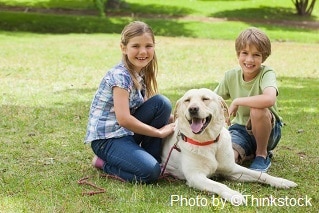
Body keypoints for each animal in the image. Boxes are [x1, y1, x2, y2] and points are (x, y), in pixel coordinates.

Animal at [161, 88, 298, 205]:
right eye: (187, 100)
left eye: (205, 99)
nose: (193, 109)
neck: (210, 142)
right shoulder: (195, 176)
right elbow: (219, 185)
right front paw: (234, 195)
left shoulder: (232, 169)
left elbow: (260, 175)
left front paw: (280, 181)